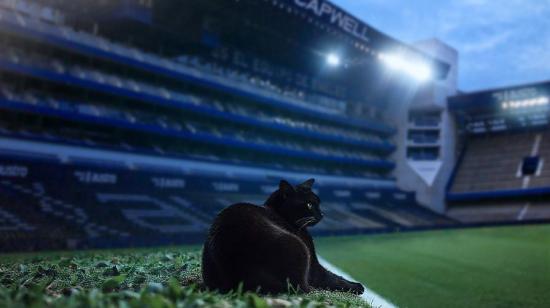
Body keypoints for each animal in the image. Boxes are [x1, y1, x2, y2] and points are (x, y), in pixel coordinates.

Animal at [203, 179, 366, 294]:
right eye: (309, 205)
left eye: (318, 203)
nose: (322, 214)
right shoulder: (313, 264)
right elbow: (332, 277)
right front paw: (357, 286)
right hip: (298, 248)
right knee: (303, 288)